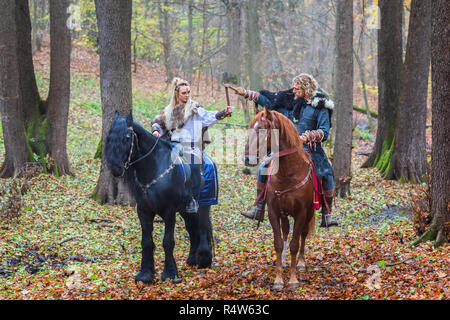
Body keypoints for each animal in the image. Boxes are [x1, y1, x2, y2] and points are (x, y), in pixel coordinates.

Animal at [104, 111, 214, 284]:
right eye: (109, 137)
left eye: (127, 137)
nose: (115, 168)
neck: (154, 168)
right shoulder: (143, 211)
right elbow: (147, 242)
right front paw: (145, 274)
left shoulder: (168, 212)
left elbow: (168, 242)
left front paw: (170, 273)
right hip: (185, 209)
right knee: (192, 229)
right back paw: (192, 259)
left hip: (203, 205)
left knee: (202, 228)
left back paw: (204, 260)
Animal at [244, 107, 314, 290]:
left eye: (261, 130)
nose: (247, 158)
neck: (287, 173)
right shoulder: (274, 212)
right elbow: (278, 242)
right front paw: (278, 279)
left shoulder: (301, 213)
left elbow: (295, 244)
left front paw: (293, 279)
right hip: (284, 214)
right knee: (285, 232)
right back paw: (283, 260)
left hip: (310, 212)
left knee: (303, 234)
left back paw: (301, 263)